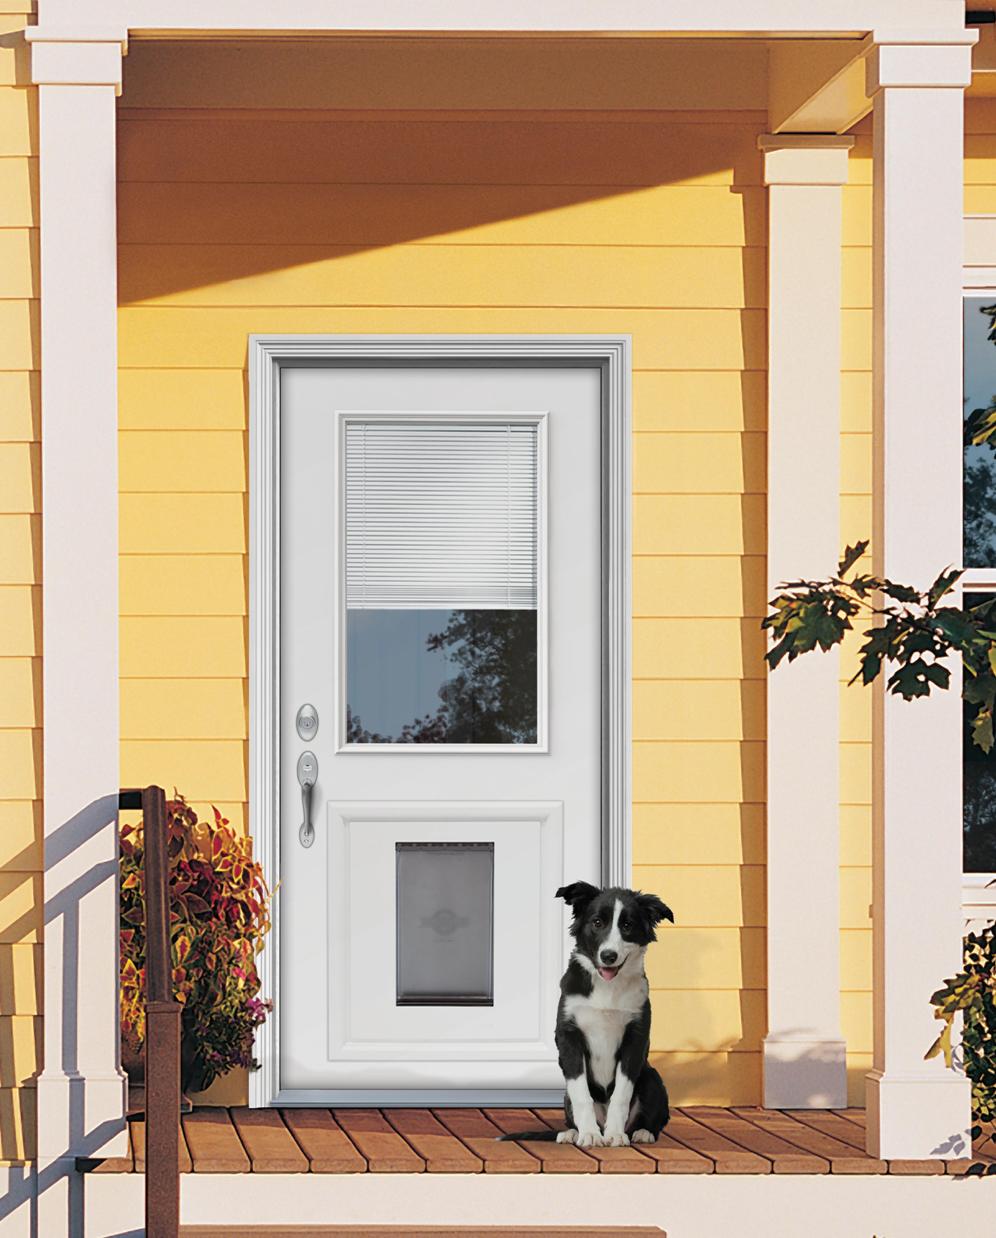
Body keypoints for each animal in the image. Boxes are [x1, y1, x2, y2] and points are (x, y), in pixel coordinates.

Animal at [502, 881, 673, 1148]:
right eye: (597, 922)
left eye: (627, 925)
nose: (608, 956)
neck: (607, 988)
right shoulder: (569, 1035)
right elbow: (581, 1093)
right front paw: (589, 1134)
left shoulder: (635, 1036)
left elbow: (621, 1094)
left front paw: (615, 1134)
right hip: (565, 1095)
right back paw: (573, 1133)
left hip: (652, 1077)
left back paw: (642, 1132)